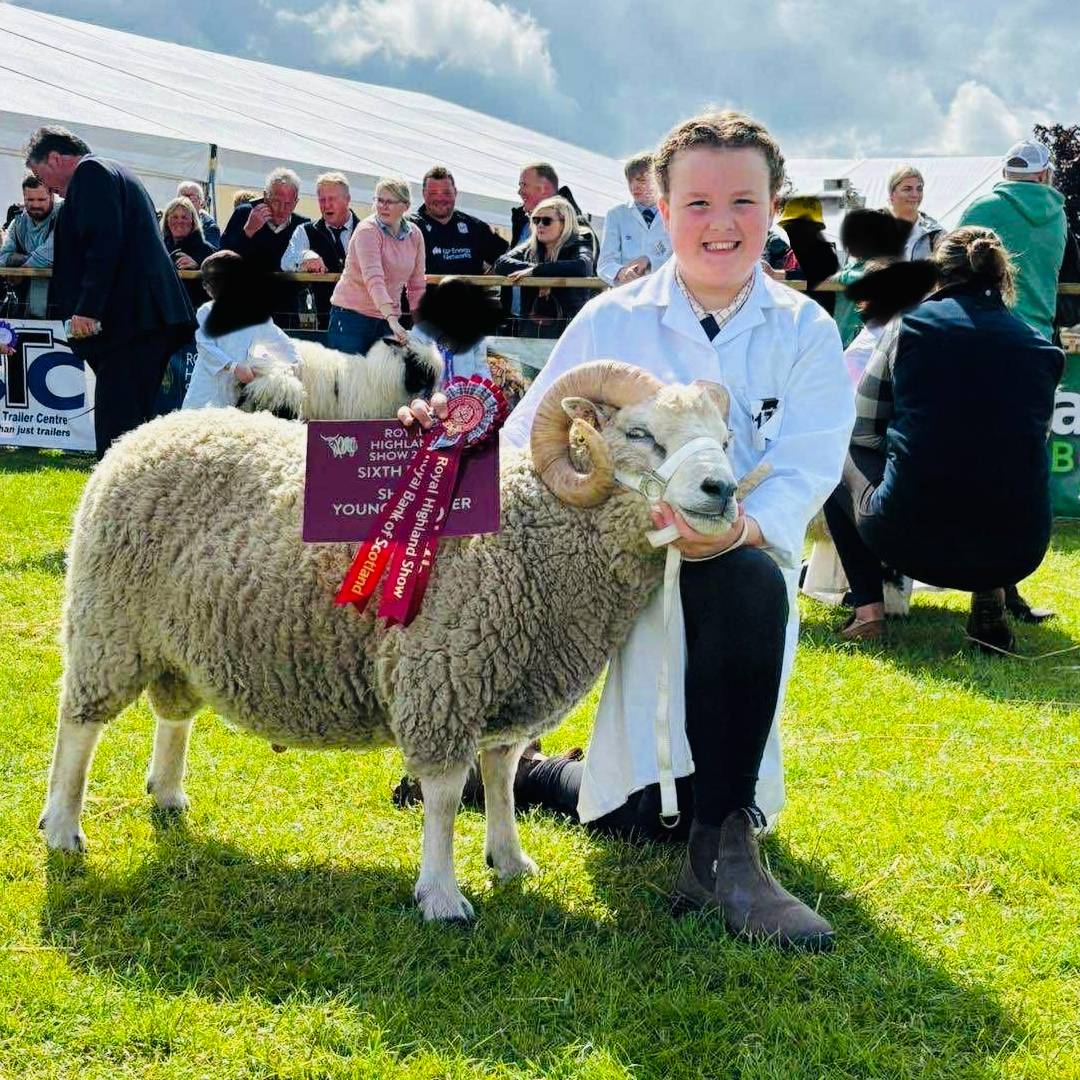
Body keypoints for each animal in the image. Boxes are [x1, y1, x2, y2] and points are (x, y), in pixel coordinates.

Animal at [40, 362, 744, 923]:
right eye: (640, 435)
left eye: (726, 440)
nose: (723, 490)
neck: (536, 525)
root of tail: (144, 433)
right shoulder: (443, 674)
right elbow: (444, 795)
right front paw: (441, 895)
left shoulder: (511, 684)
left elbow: (503, 777)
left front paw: (510, 859)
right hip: (108, 624)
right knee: (78, 727)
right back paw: (63, 828)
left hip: (177, 641)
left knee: (174, 716)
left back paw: (167, 794)